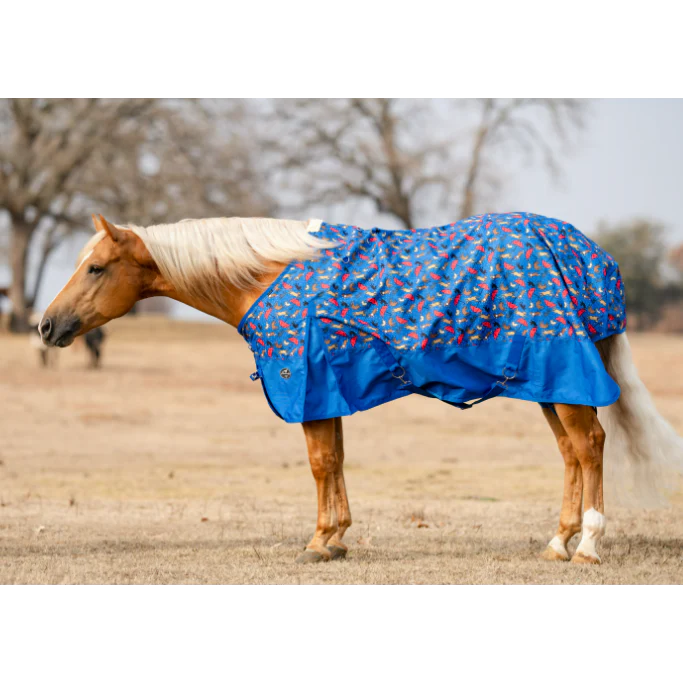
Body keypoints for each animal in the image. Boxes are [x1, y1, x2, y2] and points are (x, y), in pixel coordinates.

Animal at [40, 213, 683, 565]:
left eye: (95, 267)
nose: (46, 326)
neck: (271, 274)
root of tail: (591, 255)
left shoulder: (308, 386)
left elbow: (320, 462)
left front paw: (319, 541)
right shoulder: (330, 391)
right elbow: (336, 460)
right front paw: (338, 538)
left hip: (565, 374)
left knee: (591, 446)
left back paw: (589, 545)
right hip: (548, 383)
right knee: (573, 452)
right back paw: (557, 542)